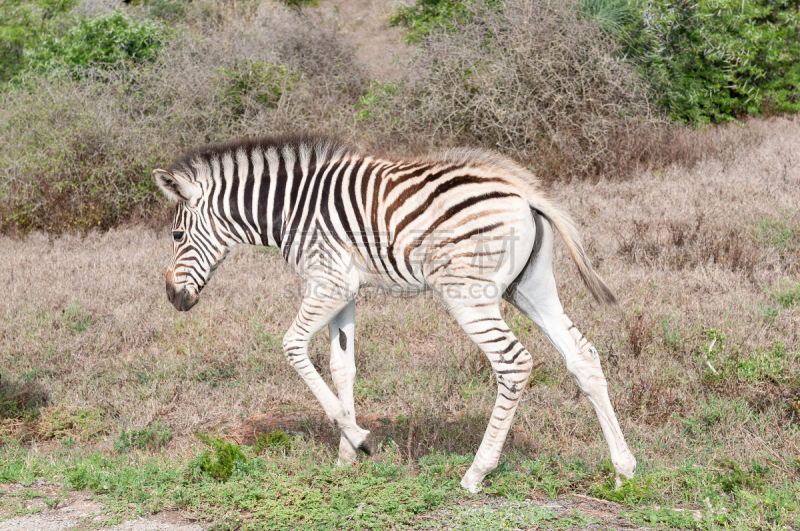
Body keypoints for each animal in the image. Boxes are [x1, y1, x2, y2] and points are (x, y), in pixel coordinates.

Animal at [152, 134, 636, 494]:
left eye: (176, 234)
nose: (173, 298)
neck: (291, 209)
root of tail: (526, 192)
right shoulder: (345, 289)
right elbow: (342, 365)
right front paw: (347, 455)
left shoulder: (328, 281)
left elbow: (292, 347)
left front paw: (360, 440)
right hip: (531, 288)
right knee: (583, 356)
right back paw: (623, 469)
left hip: (469, 294)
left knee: (513, 362)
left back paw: (476, 473)